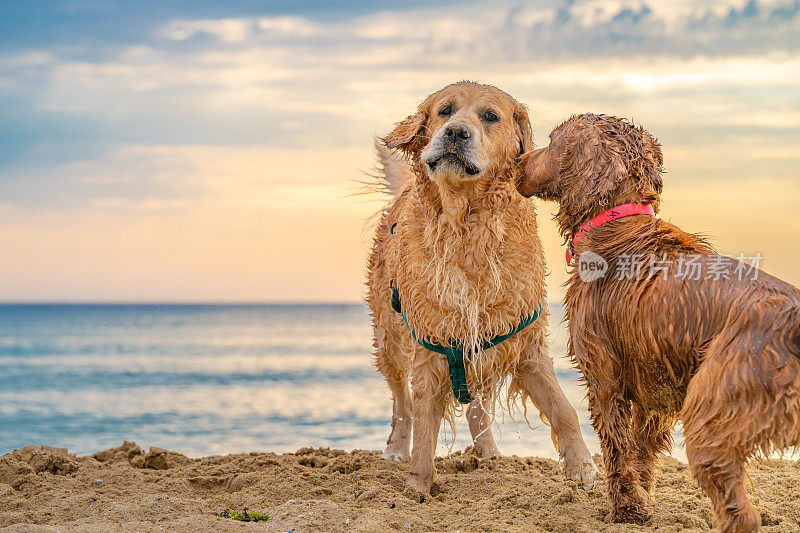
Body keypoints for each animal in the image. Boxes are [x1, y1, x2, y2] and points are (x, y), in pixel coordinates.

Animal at [366, 81, 596, 492]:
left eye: (490, 116)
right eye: (444, 110)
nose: (456, 132)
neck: (466, 229)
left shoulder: (524, 344)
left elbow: (564, 409)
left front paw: (582, 467)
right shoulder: (432, 347)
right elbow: (424, 423)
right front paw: (418, 486)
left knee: (477, 408)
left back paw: (488, 455)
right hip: (389, 339)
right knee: (402, 403)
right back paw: (396, 448)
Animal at [516, 111, 800, 528]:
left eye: (552, 142)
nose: (517, 162)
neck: (617, 223)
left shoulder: (604, 376)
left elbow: (619, 451)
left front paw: (626, 510)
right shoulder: (656, 390)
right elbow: (643, 453)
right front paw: (644, 502)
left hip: (711, 416)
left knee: (742, 514)